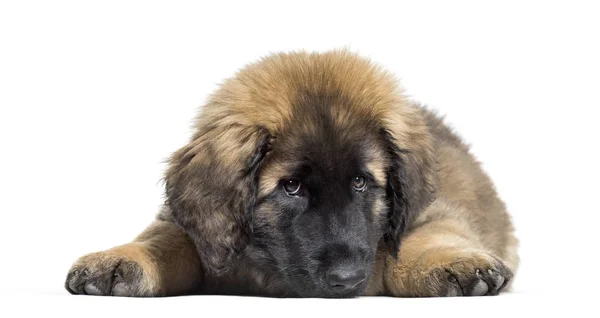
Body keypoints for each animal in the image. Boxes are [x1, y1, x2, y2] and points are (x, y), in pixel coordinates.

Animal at [64, 49, 516, 298]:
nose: (347, 278)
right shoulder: (196, 230)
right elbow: (162, 243)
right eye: (291, 187)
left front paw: (455, 263)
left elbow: (423, 239)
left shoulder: (429, 213)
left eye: (360, 182)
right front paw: (119, 258)